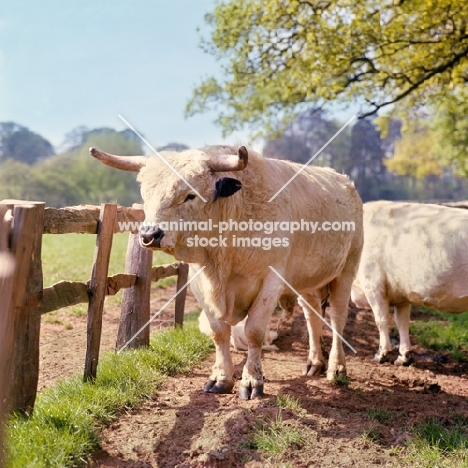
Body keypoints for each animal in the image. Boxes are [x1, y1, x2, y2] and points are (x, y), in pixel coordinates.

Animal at [90, 144, 362, 396]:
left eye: (190, 195)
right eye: (146, 194)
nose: (149, 235)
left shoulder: (271, 280)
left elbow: (254, 332)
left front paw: (252, 380)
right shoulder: (198, 280)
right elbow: (218, 332)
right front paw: (221, 377)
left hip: (347, 269)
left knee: (338, 317)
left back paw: (337, 368)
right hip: (307, 280)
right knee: (312, 316)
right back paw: (315, 361)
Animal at [352, 201, 468, 366]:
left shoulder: (373, 285)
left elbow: (381, 320)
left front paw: (381, 354)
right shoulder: (401, 294)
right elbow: (402, 322)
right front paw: (403, 356)